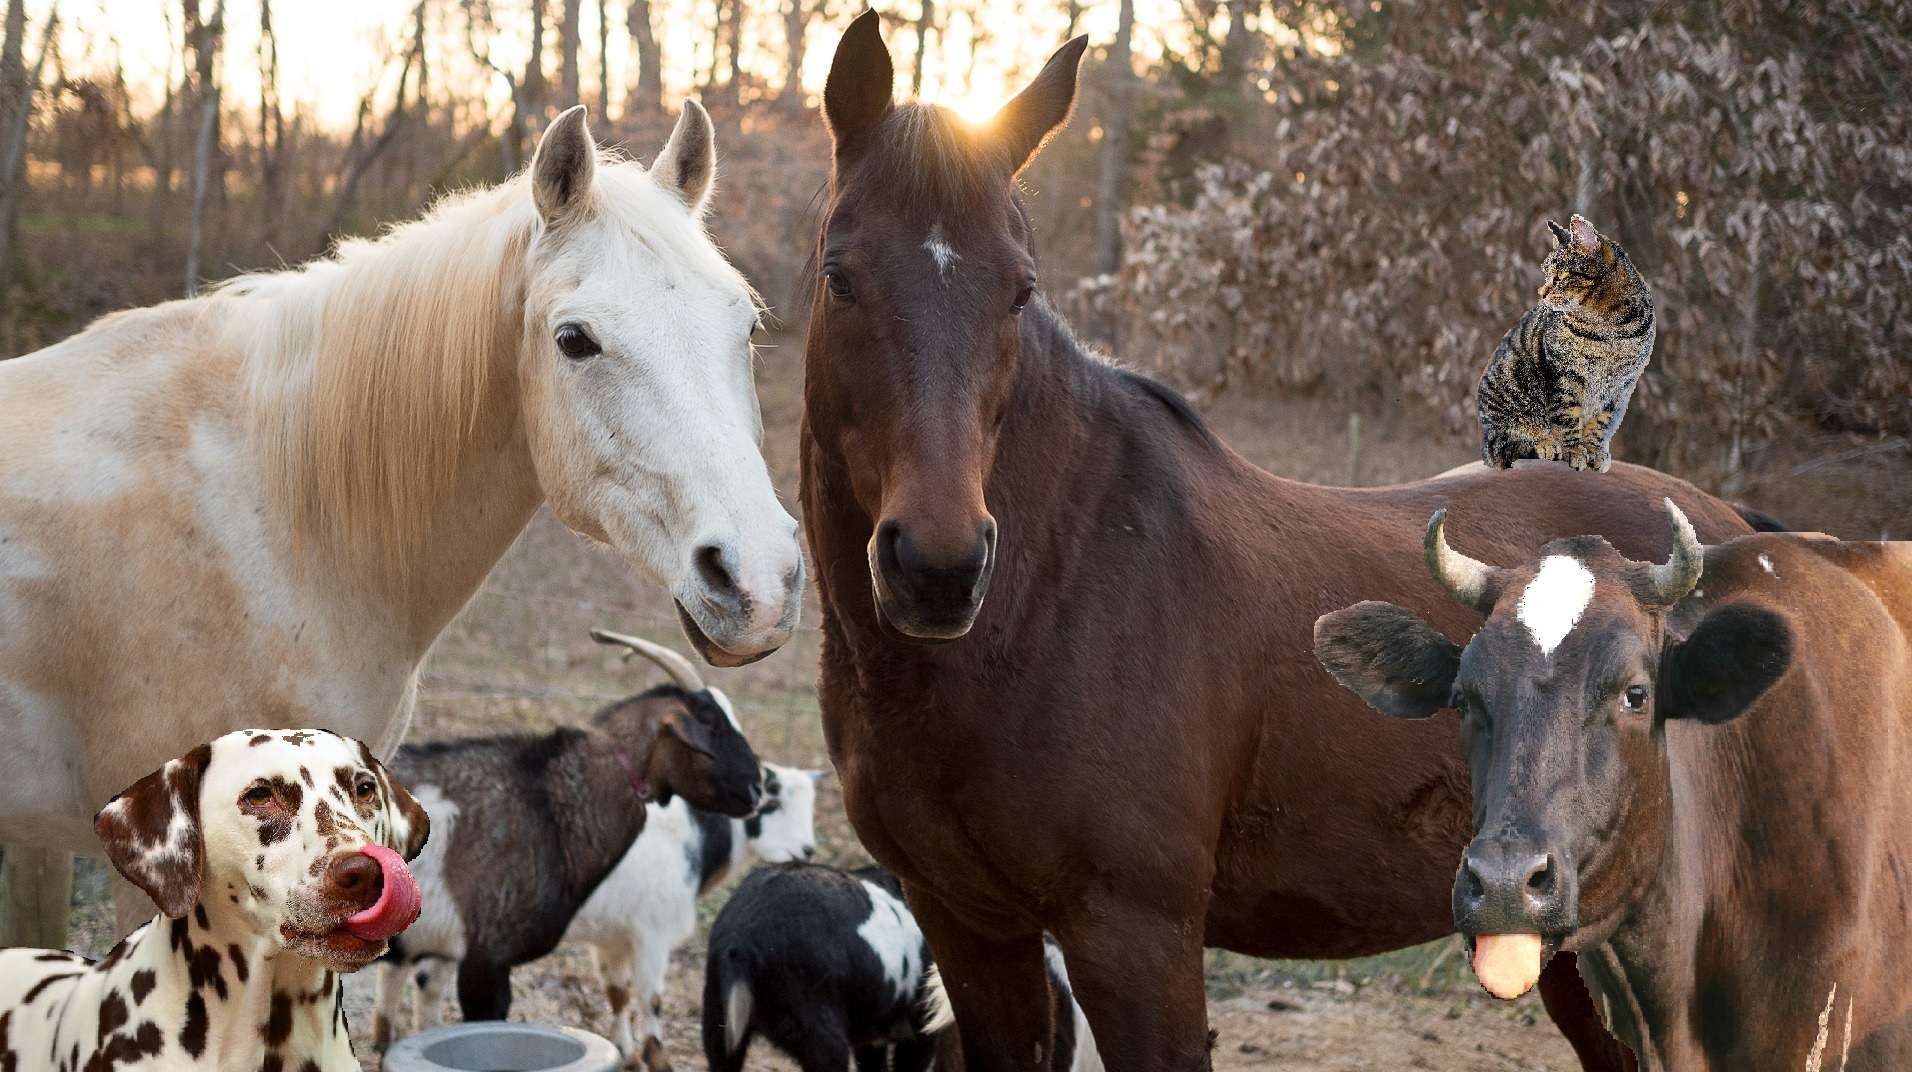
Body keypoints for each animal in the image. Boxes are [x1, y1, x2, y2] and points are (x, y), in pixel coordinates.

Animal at [799, 14, 1767, 1071]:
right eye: (840, 275)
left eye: (1020, 290)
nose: (937, 569)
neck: (1055, 595)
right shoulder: (970, 927)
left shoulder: (1135, 938)